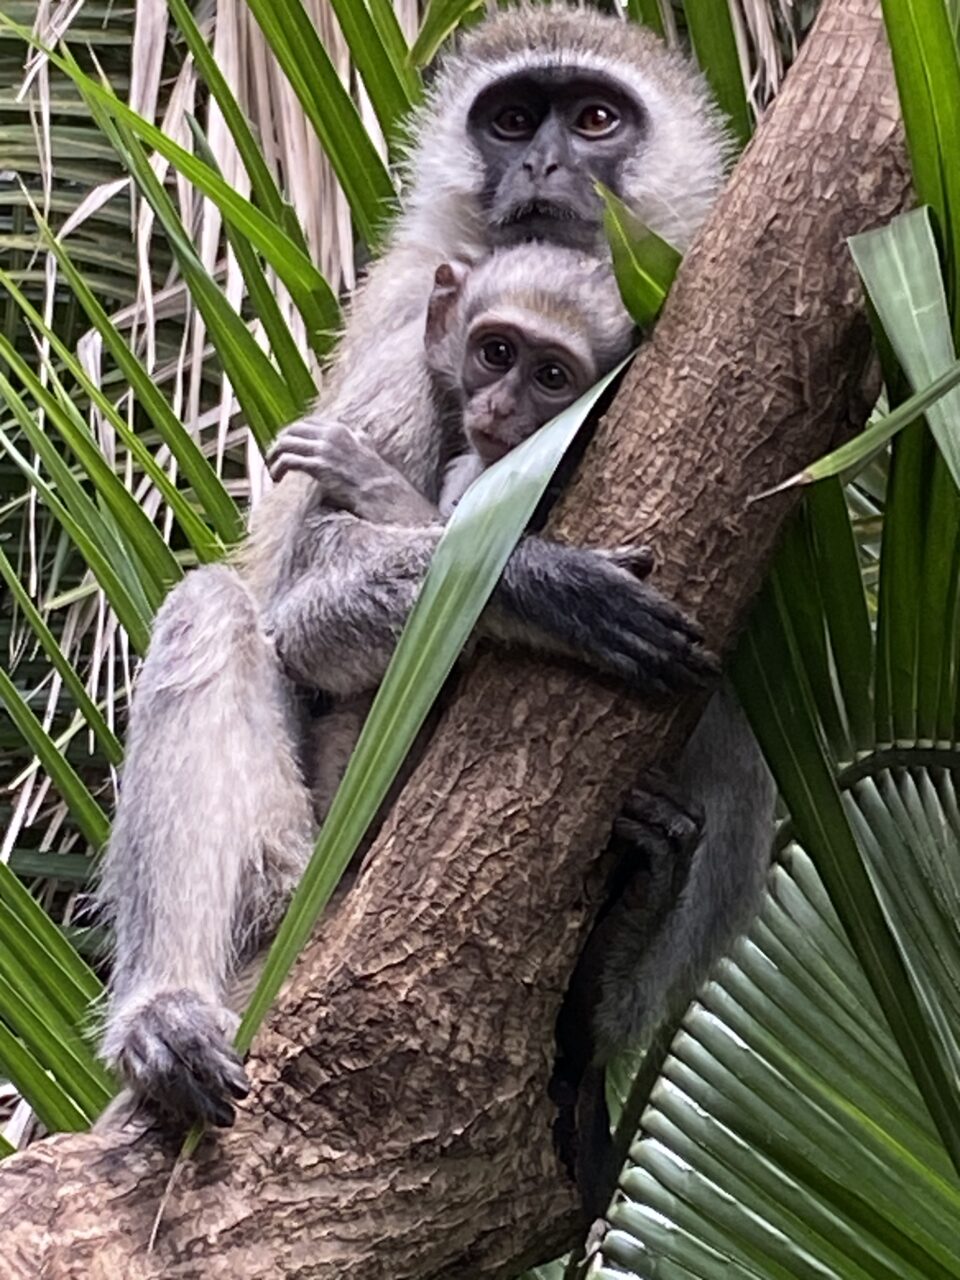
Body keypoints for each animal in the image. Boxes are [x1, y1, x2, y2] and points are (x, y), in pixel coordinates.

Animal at [99, 7, 773, 1131]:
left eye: (596, 119)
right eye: (511, 119)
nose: (543, 163)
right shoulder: (415, 318)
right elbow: (303, 599)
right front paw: (546, 579)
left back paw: (607, 969)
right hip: (295, 870)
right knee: (214, 612)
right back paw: (170, 1011)